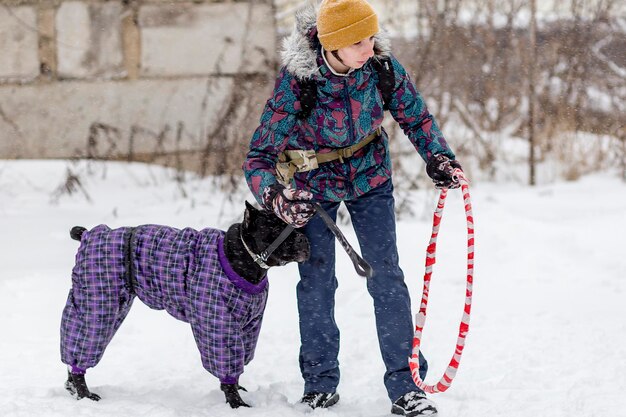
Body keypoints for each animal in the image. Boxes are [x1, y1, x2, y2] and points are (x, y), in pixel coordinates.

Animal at [59, 202, 308, 406]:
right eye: (275, 228)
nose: (304, 239)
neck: (244, 259)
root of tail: (88, 235)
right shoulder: (219, 325)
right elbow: (227, 368)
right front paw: (236, 403)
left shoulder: (249, 327)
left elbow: (239, 363)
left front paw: (237, 390)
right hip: (98, 305)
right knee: (80, 350)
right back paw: (84, 394)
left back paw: (73, 388)